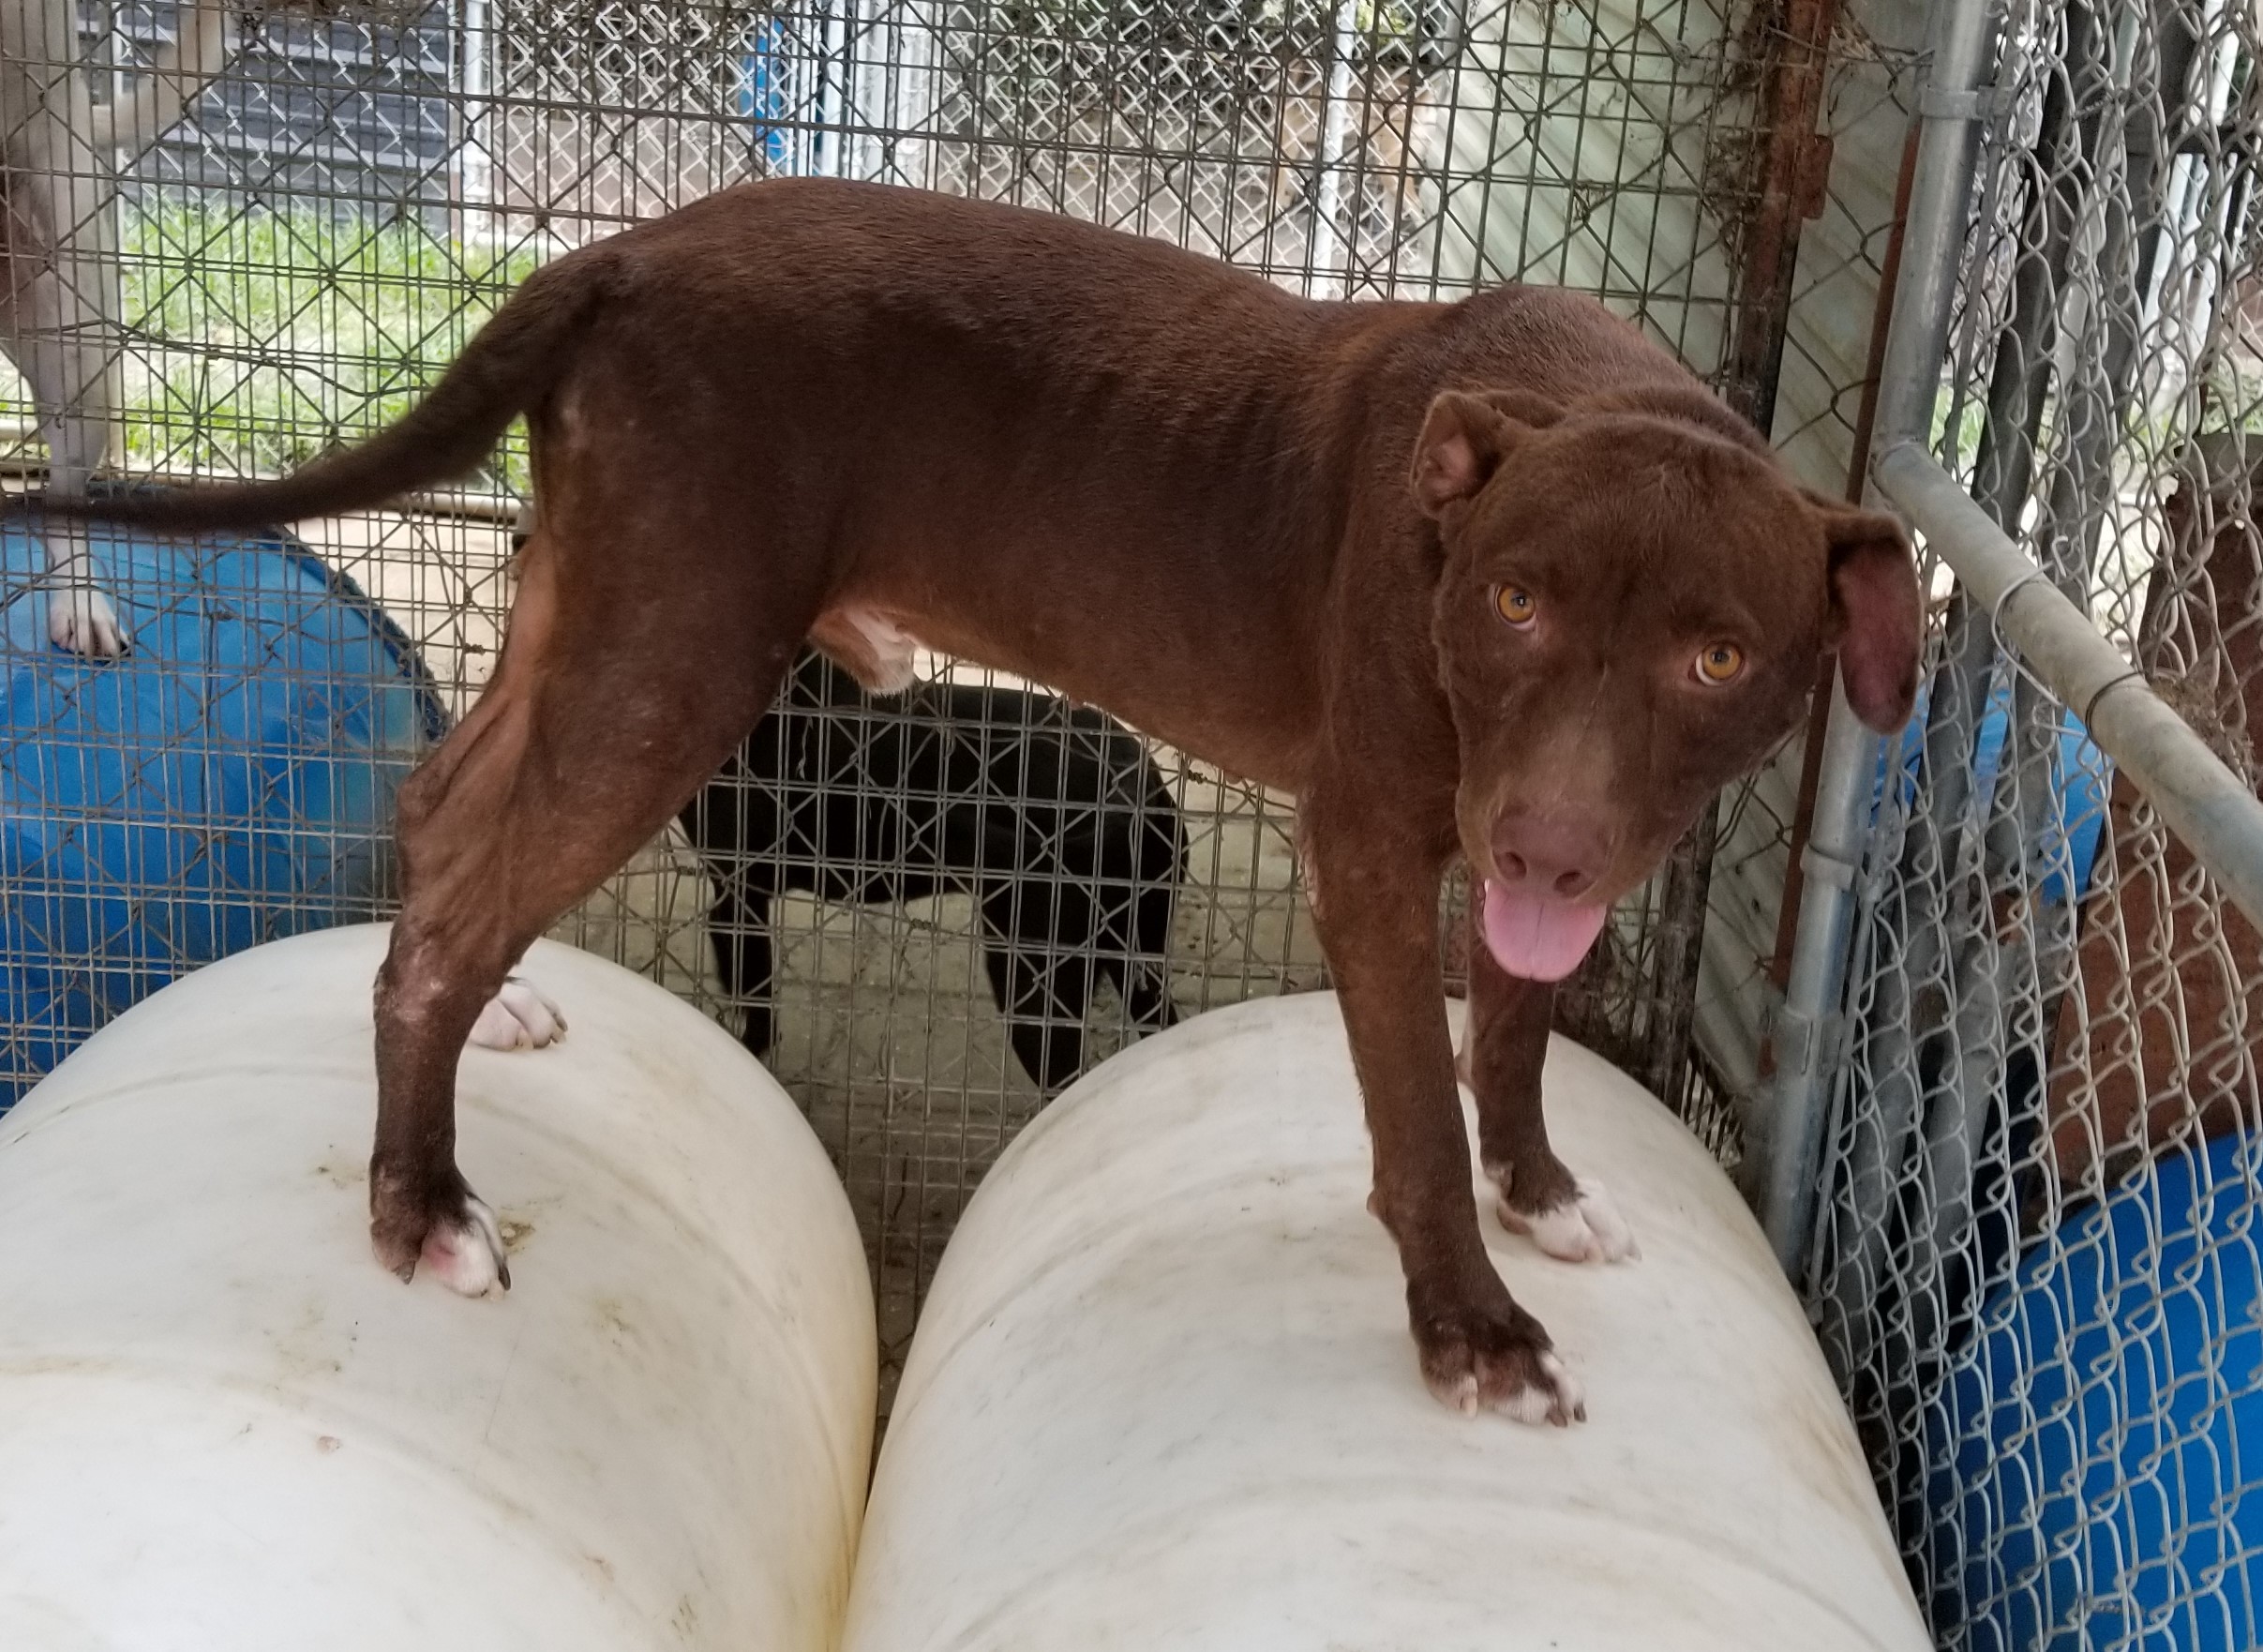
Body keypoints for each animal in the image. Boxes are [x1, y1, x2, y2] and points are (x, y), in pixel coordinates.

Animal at [62, 176, 1919, 1412]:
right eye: (1513, 600)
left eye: (1716, 654)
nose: (1543, 840)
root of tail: (626, 250)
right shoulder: (1374, 848)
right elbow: (1410, 1114)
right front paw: (1468, 1325)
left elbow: (1511, 1035)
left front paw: (1538, 1188)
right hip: (668, 665)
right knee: (446, 924)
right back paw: (419, 1203)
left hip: (589, 619)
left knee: (450, 811)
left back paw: (494, 1015)